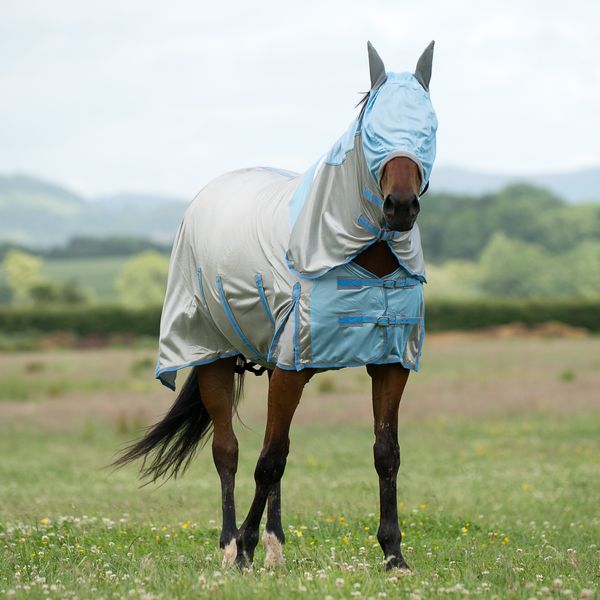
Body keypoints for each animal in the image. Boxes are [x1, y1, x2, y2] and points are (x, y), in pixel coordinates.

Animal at [116, 41, 436, 572]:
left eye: (428, 128)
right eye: (371, 131)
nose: (400, 206)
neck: (359, 258)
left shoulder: (388, 363)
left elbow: (384, 452)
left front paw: (394, 555)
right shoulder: (291, 366)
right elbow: (267, 461)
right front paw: (242, 546)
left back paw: (275, 548)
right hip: (213, 356)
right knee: (228, 451)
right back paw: (231, 546)